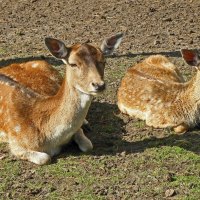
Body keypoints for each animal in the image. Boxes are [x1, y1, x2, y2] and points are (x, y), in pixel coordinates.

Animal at [0, 33, 123, 164]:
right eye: (73, 64)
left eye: (104, 61)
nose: (99, 85)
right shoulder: (15, 143)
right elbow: (45, 158)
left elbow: (88, 145)